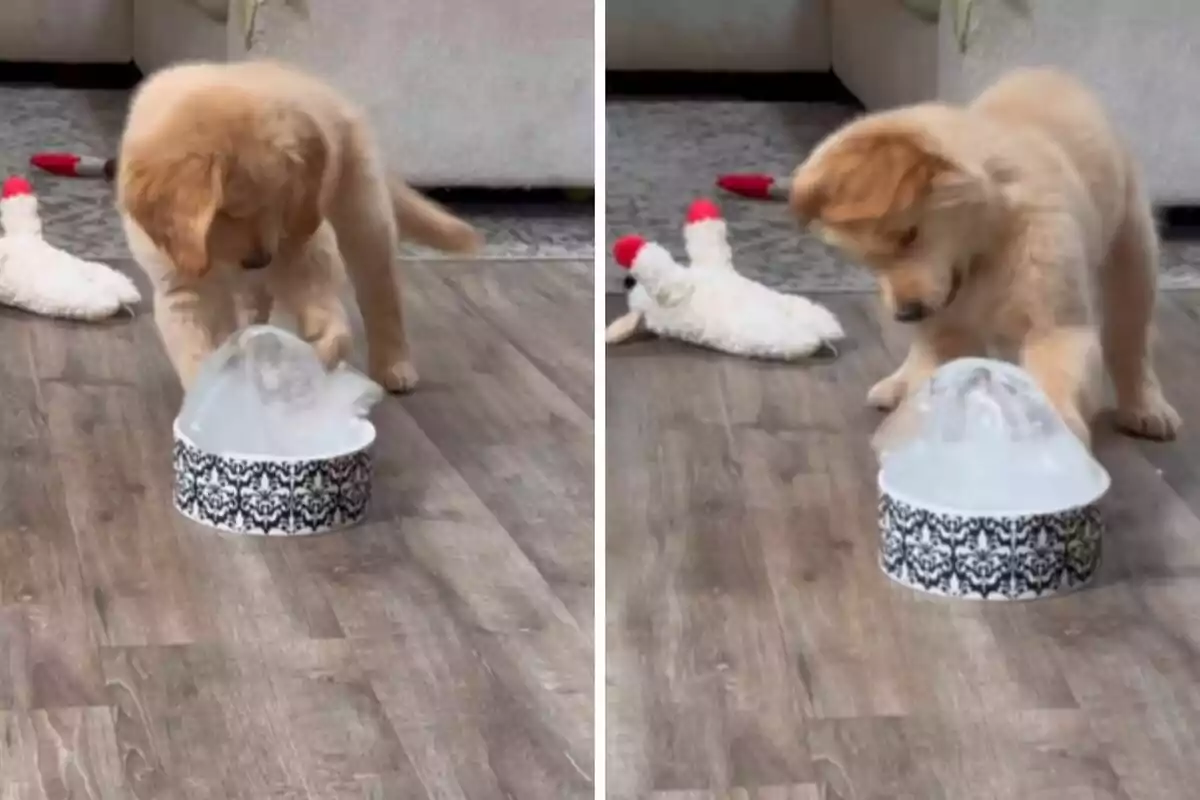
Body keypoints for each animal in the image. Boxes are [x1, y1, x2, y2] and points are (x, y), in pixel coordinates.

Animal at [117, 58, 480, 391]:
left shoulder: (302, 236)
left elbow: (324, 304)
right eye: (227, 212)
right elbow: (194, 342)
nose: (259, 260)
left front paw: (323, 344)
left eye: (278, 200)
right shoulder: (182, 285)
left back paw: (394, 365)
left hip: (363, 214)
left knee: (381, 294)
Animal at [792, 68, 1176, 448]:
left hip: (1134, 254)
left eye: (908, 235)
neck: (988, 248)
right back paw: (898, 385)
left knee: (1131, 341)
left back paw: (1145, 406)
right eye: (868, 262)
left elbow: (1054, 380)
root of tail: (1050, 73)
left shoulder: (1056, 328)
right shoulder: (945, 330)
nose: (906, 314)